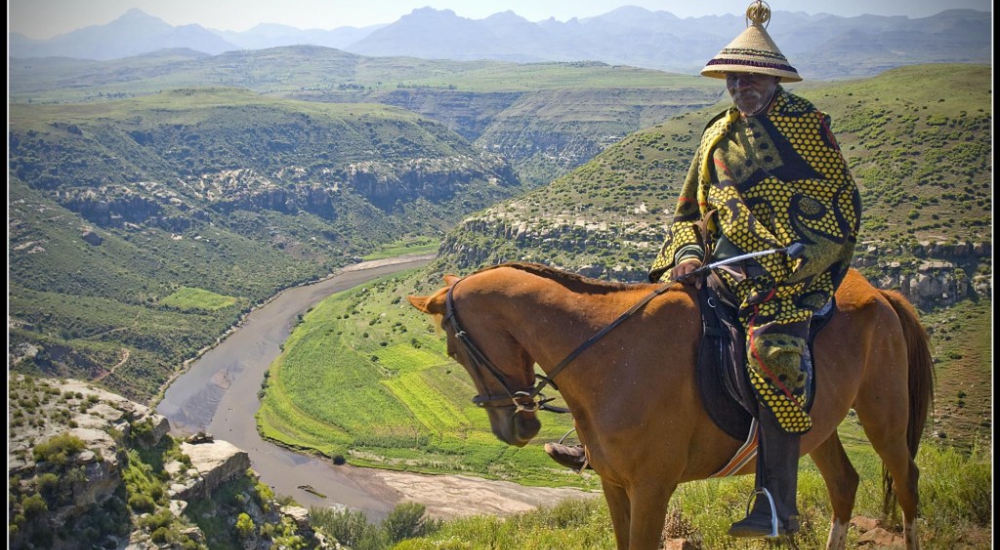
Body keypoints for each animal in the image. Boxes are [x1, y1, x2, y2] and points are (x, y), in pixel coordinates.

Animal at [404, 266, 928, 548]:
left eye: (453, 348)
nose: (515, 429)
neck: (610, 354)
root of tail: (881, 294)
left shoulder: (652, 488)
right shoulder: (614, 484)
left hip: (884, 416)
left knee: (906, 482)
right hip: (818, 428)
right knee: (844, 485)